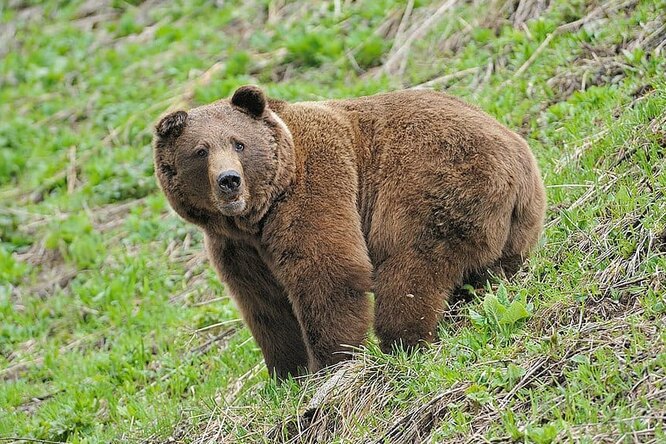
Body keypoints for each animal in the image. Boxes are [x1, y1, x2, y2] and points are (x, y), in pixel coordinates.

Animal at [152, 86, 544, 378]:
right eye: (200, 151)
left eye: (238, 143)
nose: (229, 181)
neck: (256, 217)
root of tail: (517, 161)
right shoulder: (235, 248)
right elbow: (264, 304)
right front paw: (287, 374)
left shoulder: (314, 189)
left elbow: (328, 273)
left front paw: (332, 362)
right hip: (514, 228)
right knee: (485, 274)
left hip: (432, 186)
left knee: (410, 270)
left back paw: (402, 343)